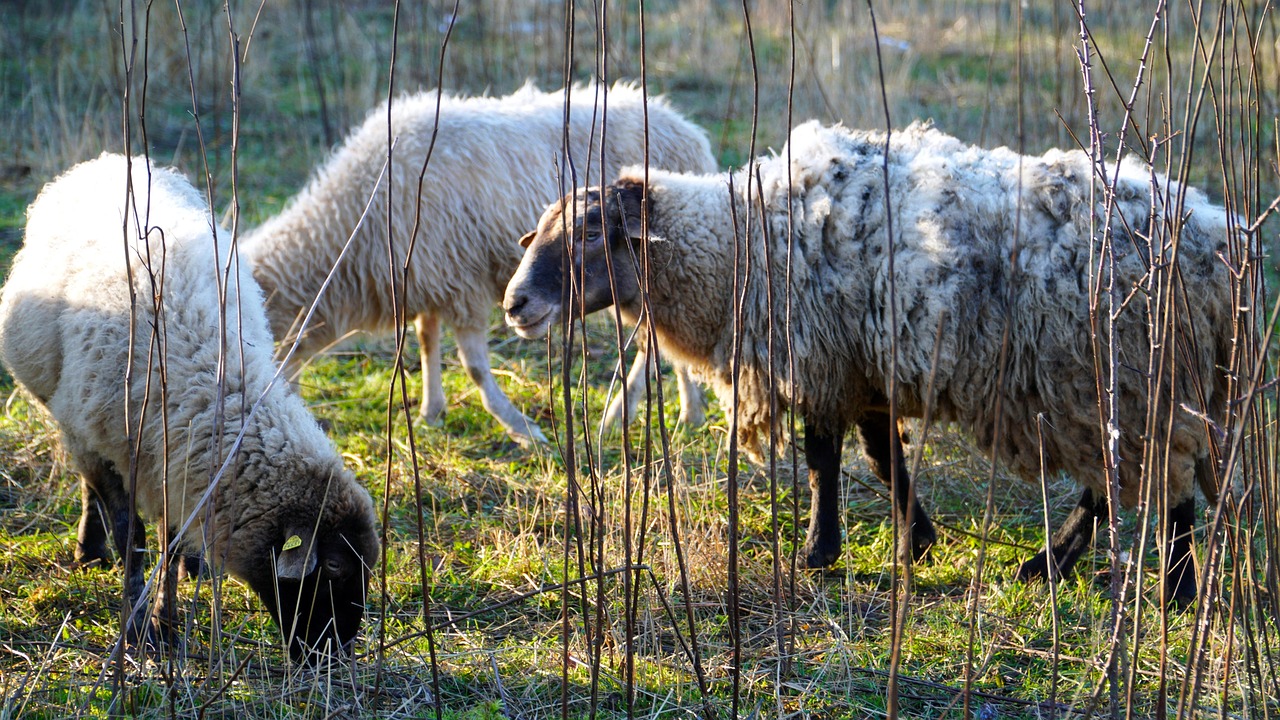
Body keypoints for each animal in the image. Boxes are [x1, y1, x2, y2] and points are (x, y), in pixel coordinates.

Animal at [0, 153, 380, 660]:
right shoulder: (115, 442)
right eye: (335, 568)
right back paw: (89, 548)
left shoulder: (173, 461)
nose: (332, 655)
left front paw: (167, 618)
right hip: (76, 421)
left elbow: (171, 541)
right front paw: (139, 629)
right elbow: (132, 538)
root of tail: (112, 159)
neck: (210, 376)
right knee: (88, 486)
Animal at [241, 81, 715, 445]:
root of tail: (686, 127)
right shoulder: (428, 278)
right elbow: (427, 341)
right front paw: (431, 410)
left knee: (652, 342)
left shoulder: (458, 283)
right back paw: (689, 411)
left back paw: (622, 412)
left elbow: (473, 368)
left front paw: (522, 429)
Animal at [503, 120, 1235, 606]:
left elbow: (823, 457)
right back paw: (1052, 565)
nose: (515, 304)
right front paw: (919, 540)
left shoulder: (821, 358)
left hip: (1126, 375)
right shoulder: (866, 362)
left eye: (592, 233)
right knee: (1116, 480)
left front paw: (818, 552)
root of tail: (1211, 237)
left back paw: (1171, 587)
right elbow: (886, 458)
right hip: (1113, 384)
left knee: (1165, 483)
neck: (742, 244)